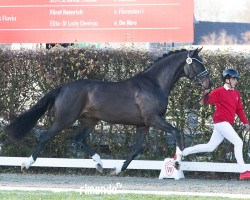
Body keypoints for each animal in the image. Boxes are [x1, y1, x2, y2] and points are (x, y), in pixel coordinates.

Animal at [4, 47, 211, 174]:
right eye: (197, 63)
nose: (208, 84)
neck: (154, 84)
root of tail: (63, 87)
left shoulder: (143, 125)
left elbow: (136, 150)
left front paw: (118, 170)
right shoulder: (153, 119)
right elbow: (176, 132)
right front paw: (178, 162)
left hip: (89, 120)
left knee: (78, 139)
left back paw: (99, 163)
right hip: (65, 119)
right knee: (45, 136)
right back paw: (26, 164)